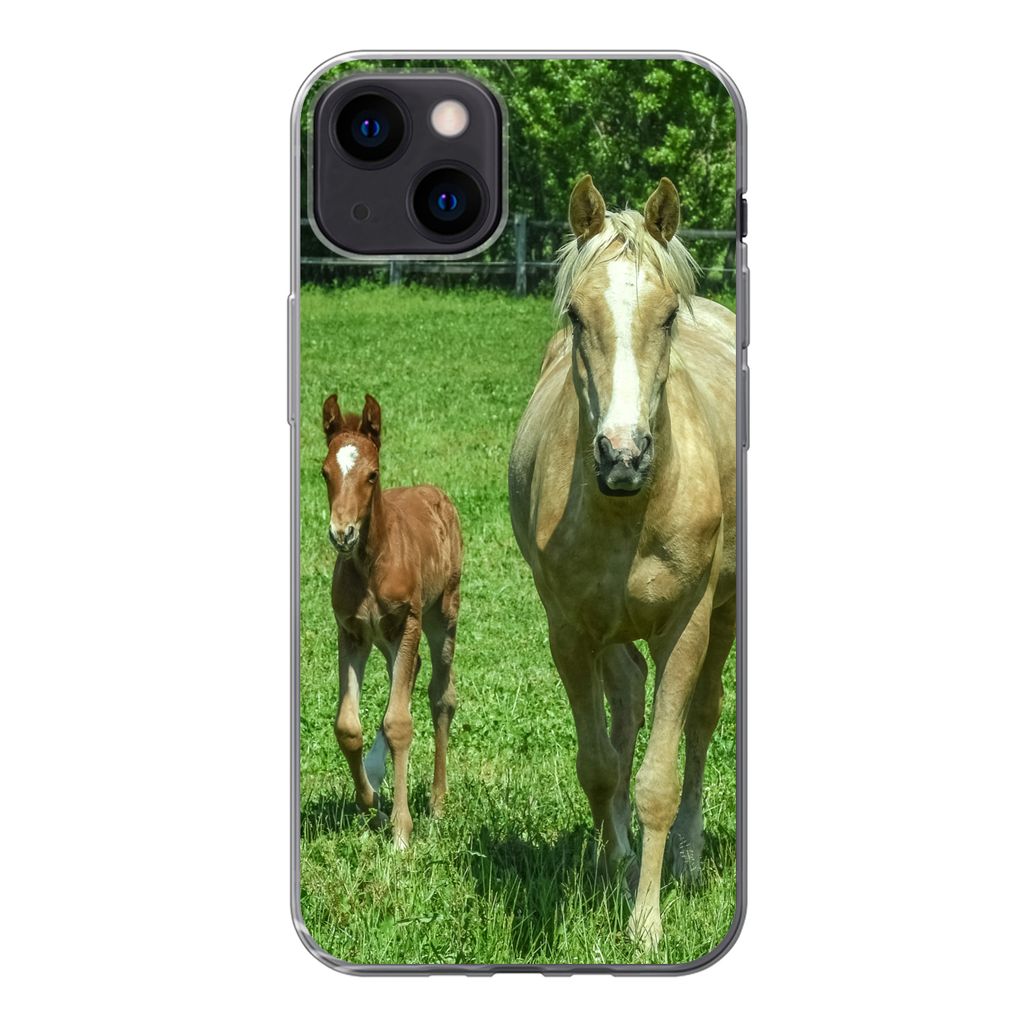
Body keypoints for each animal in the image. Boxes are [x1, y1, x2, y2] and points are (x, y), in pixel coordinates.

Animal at [321, 393, 462, 849]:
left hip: (441, 615)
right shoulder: (351, 631)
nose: (342, 533)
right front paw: (373, 804)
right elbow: (348, 726)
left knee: (440, 694)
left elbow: (399, 721)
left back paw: (437, 804)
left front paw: (402, 830)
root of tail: (435, 491)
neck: (371, 562)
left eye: (372, 474)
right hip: (385, 638)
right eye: (325, 472)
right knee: (409, 673)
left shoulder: (408, 623)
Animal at [508, 176, 736, 948]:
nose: (623, 455)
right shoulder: (570, 633)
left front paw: (646, 921)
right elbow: (601, 766)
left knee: (701, 720)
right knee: (627, 702)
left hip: (724, 614)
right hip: (609, 631)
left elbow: (658, 778)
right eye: (578, 315)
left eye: (666, 316)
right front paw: (614, 873)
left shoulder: (686, 627)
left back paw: (689, 860)